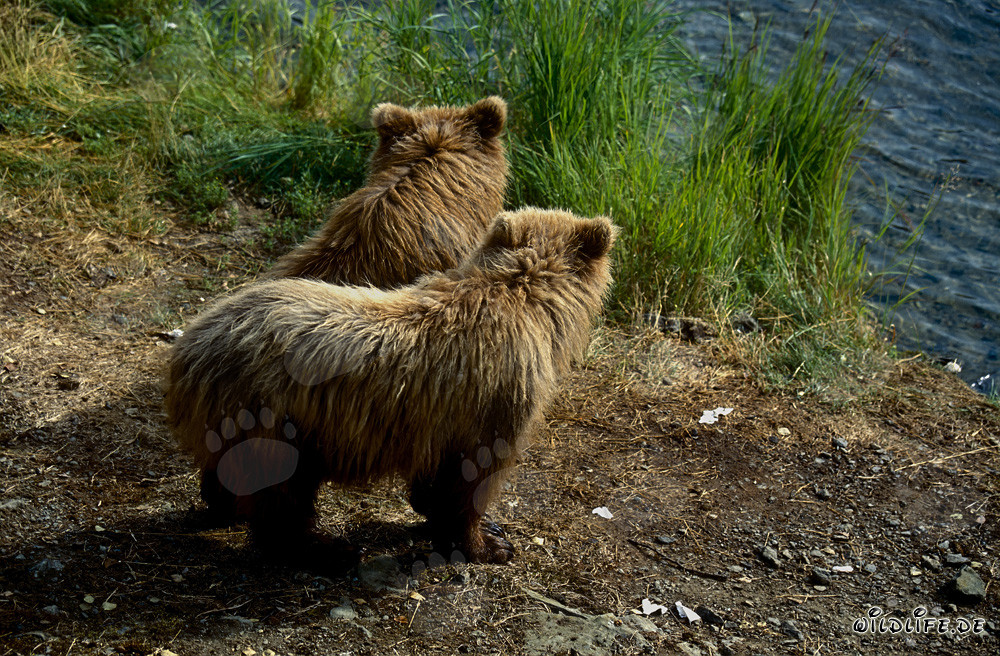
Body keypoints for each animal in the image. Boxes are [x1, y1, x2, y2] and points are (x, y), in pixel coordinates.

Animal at [163, 207, 617, 563]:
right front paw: (486, 542)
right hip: (271, 414)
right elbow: (474, 475)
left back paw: (224, 504)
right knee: (282, 490)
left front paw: (447, 515)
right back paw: (326, 549)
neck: (527, 301)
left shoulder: (440, 418)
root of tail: (188, 346)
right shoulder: (496, 398)